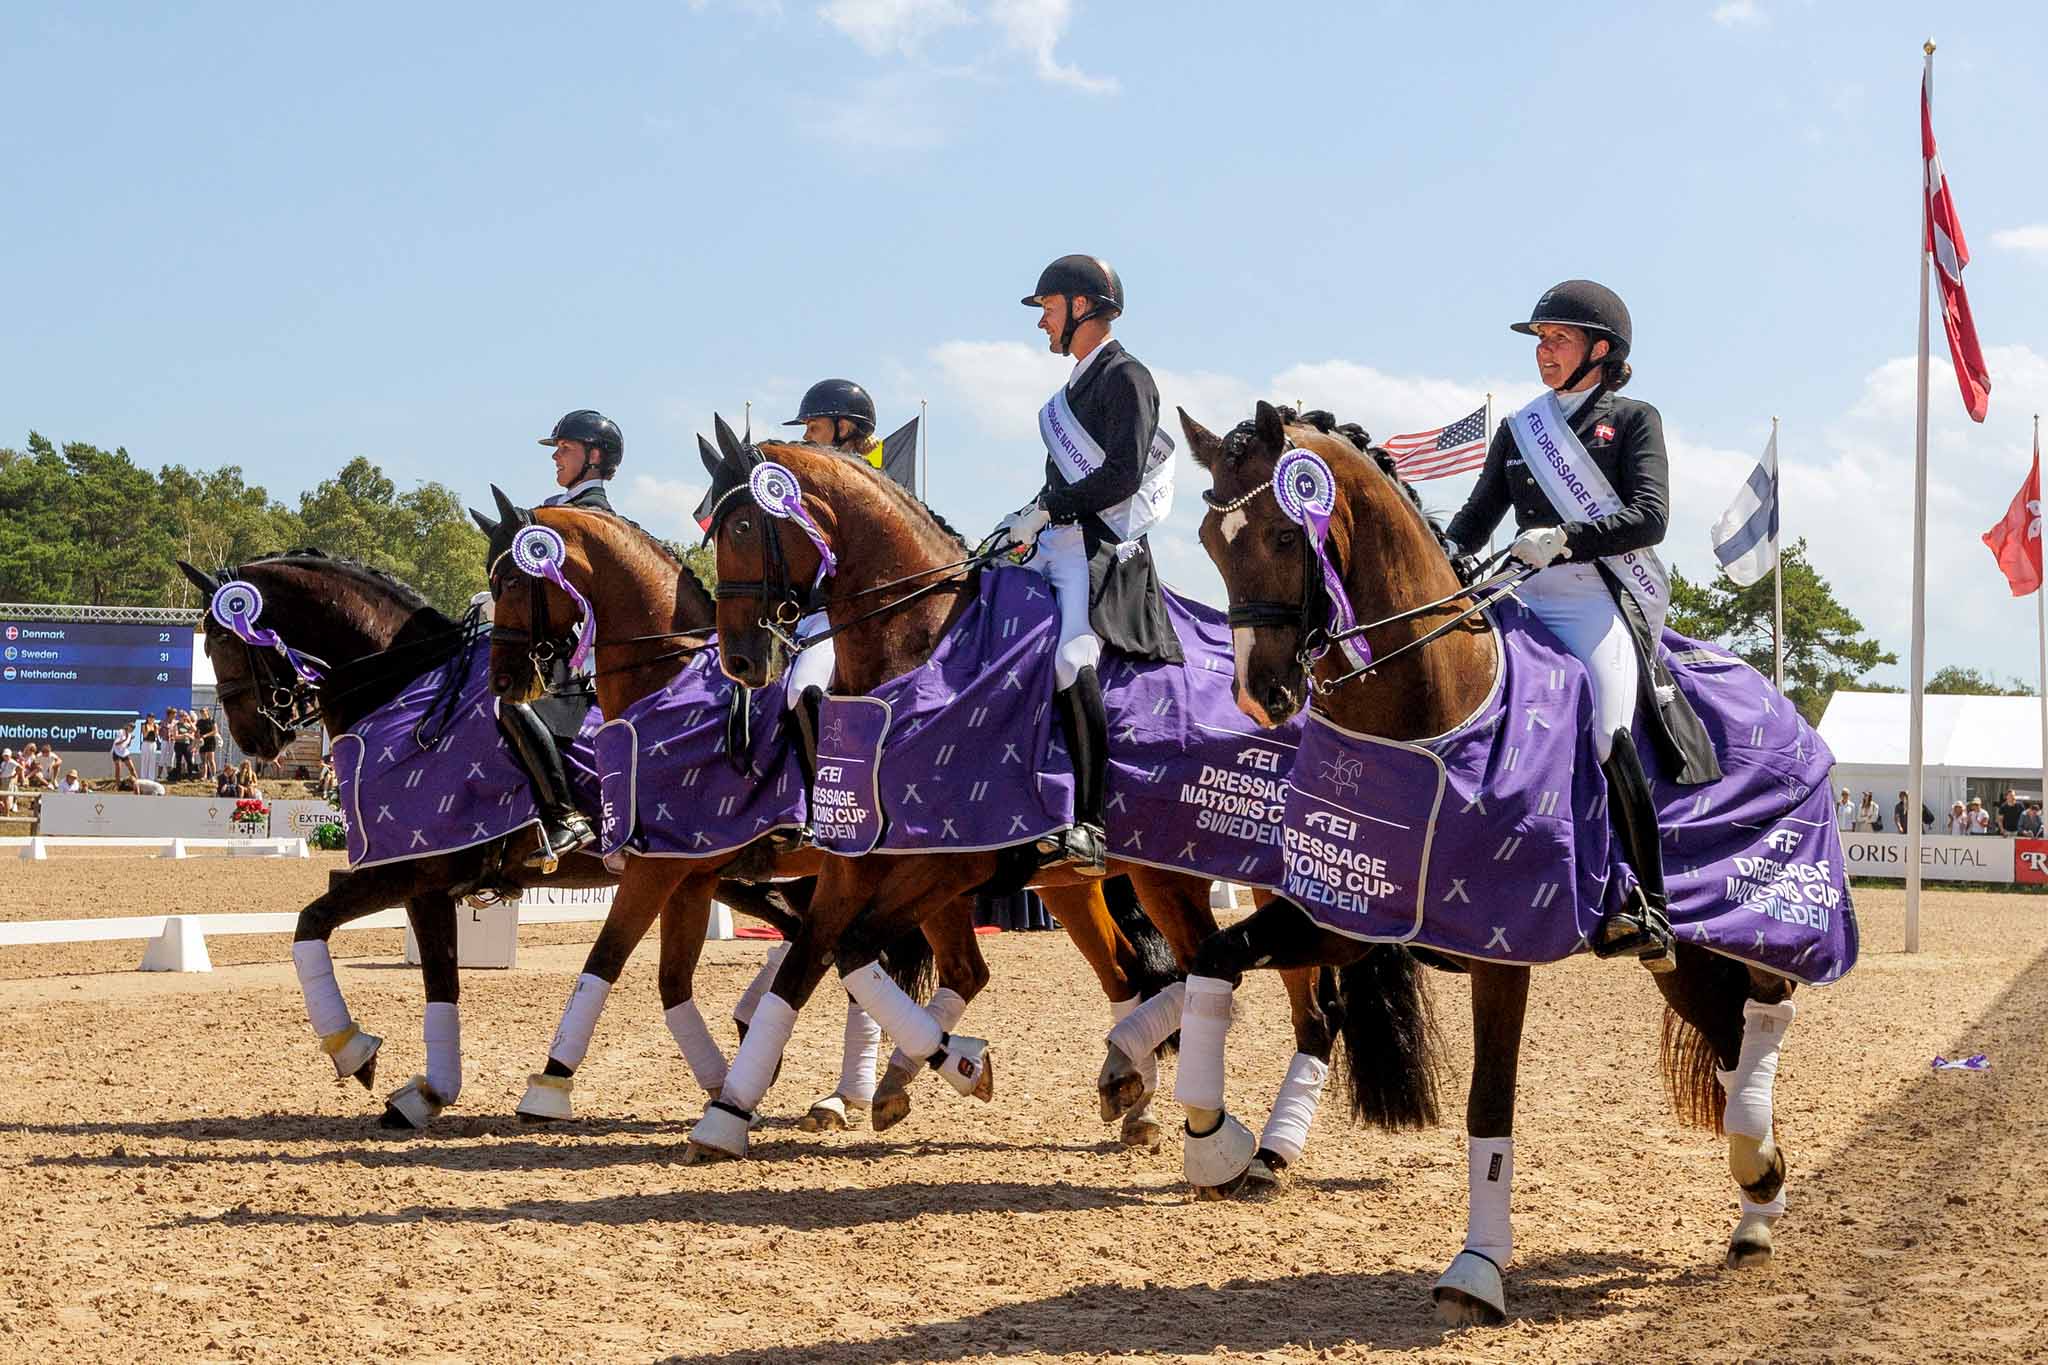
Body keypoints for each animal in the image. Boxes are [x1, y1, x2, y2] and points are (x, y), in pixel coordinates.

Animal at [477, 491, 1179, 1146]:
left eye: (510, 580)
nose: (504, 681)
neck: (672, 687)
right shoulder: (697, 872)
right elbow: (678, 975)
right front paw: (727, 1080)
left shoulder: (666, 867)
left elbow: (608, 960)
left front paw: (551, 1086)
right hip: (1043, 886)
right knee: (1077, 969)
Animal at [679, 429, 1433, 1178]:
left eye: (743, 526)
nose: (740, 660)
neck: (924, 647)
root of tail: (1309, 688)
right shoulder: (855, 862)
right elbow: (811, 965)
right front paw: (729, 1112)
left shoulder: (955, 863)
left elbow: (855, 950)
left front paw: (958, 1064)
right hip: (1150, 876)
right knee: (1175, 968)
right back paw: (1139, 1080)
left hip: (1239, 875)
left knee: (1304, 1005)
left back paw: (1256, 1146)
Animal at [1187, 403, 1794, 1326]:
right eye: (1208, 542)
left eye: (1288, 536)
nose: (1261, 694)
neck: (1434, 708)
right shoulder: (1346, 918)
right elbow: (1212, 960)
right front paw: (1213, 1139)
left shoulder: (1503, 946)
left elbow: (1489, 1100)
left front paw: (1476, 1269)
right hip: (1681, 959)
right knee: (1728, 1039)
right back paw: (1757, 1196)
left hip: (1739, 920)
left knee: (1763, 1014)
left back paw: (1757, 1180)